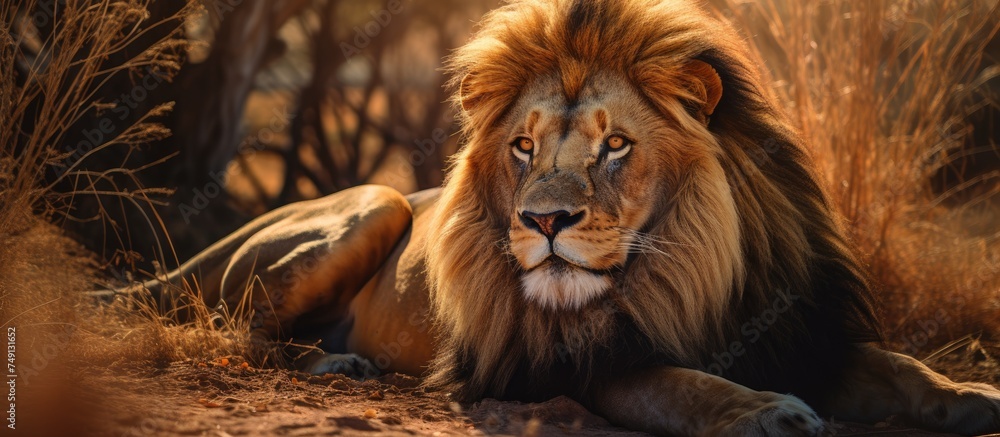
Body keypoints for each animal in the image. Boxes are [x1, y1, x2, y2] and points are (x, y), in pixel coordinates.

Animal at [102, 0, 1000, 435]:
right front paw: (765, 411)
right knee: (244, 332)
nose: (544, 222)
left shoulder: (802, 331)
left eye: (617, 146)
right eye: (524, 147)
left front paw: (973, 393)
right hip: (373, 205)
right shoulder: (575, 365)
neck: (693, 269)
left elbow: (904, 368)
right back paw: (339, 364)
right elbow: (681, 384)